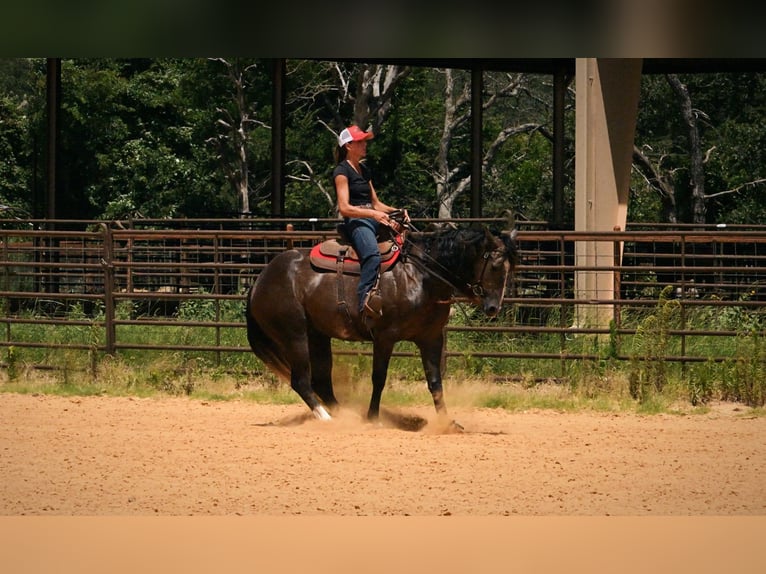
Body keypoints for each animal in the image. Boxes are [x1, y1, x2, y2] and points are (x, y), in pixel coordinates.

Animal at [245, 218, 518, 428]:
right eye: (495, 266)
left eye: (510, 268)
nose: (493, 308)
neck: (420, 276)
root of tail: (260, 280)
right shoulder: (385, 337)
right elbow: (379, 377)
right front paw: (373, 417)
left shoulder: (431, 338)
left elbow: (435, 382)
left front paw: (447, 423)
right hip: (295, 335)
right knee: (301, 380)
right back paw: (328, 419)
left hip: (318, 336)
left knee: (321, 381)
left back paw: (345, 415)